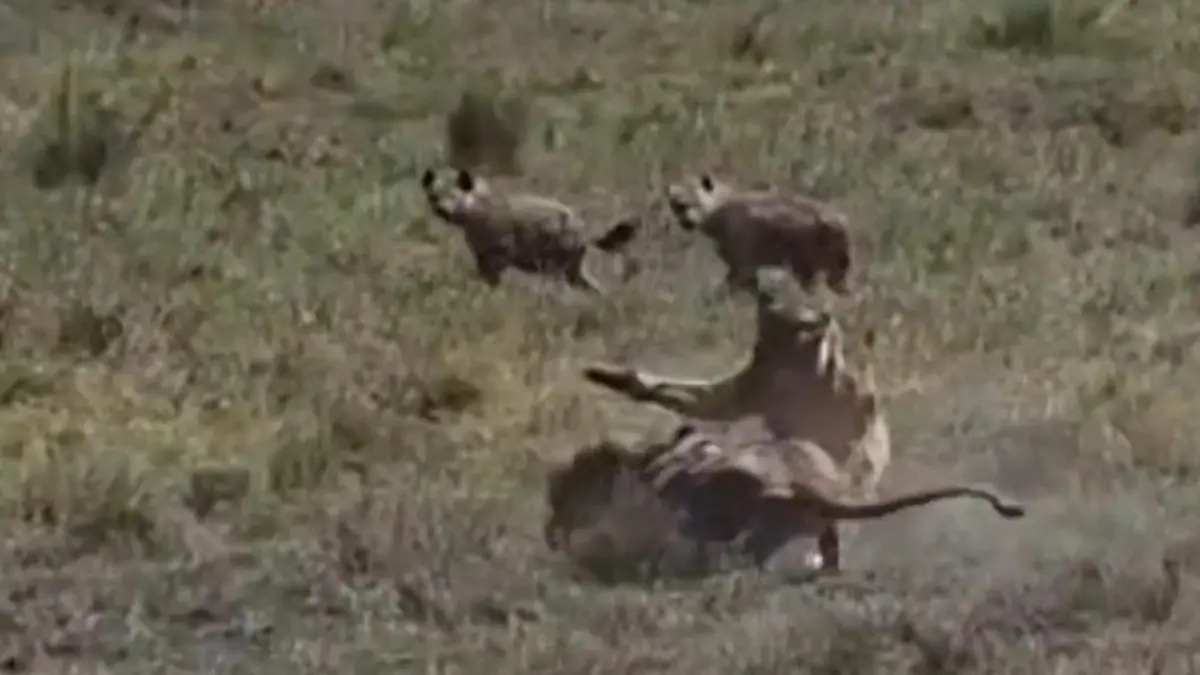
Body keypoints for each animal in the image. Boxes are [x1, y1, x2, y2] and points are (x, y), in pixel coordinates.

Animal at [420, 167, 640, 293]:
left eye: (454, 196)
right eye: (433, 196)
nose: (441, 209)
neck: (476, 215)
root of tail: (585, 229)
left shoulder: (499, 254)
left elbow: (494, 282)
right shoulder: (482, 256)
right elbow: (484, 278)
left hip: (555, 262)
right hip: (572, 267)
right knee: (590, 285)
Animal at [544, 421, 1025, 576]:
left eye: (566, 490)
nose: (551, 532)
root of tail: (805, 485)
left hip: (757, 523)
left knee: (750, 550)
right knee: (827, 542)